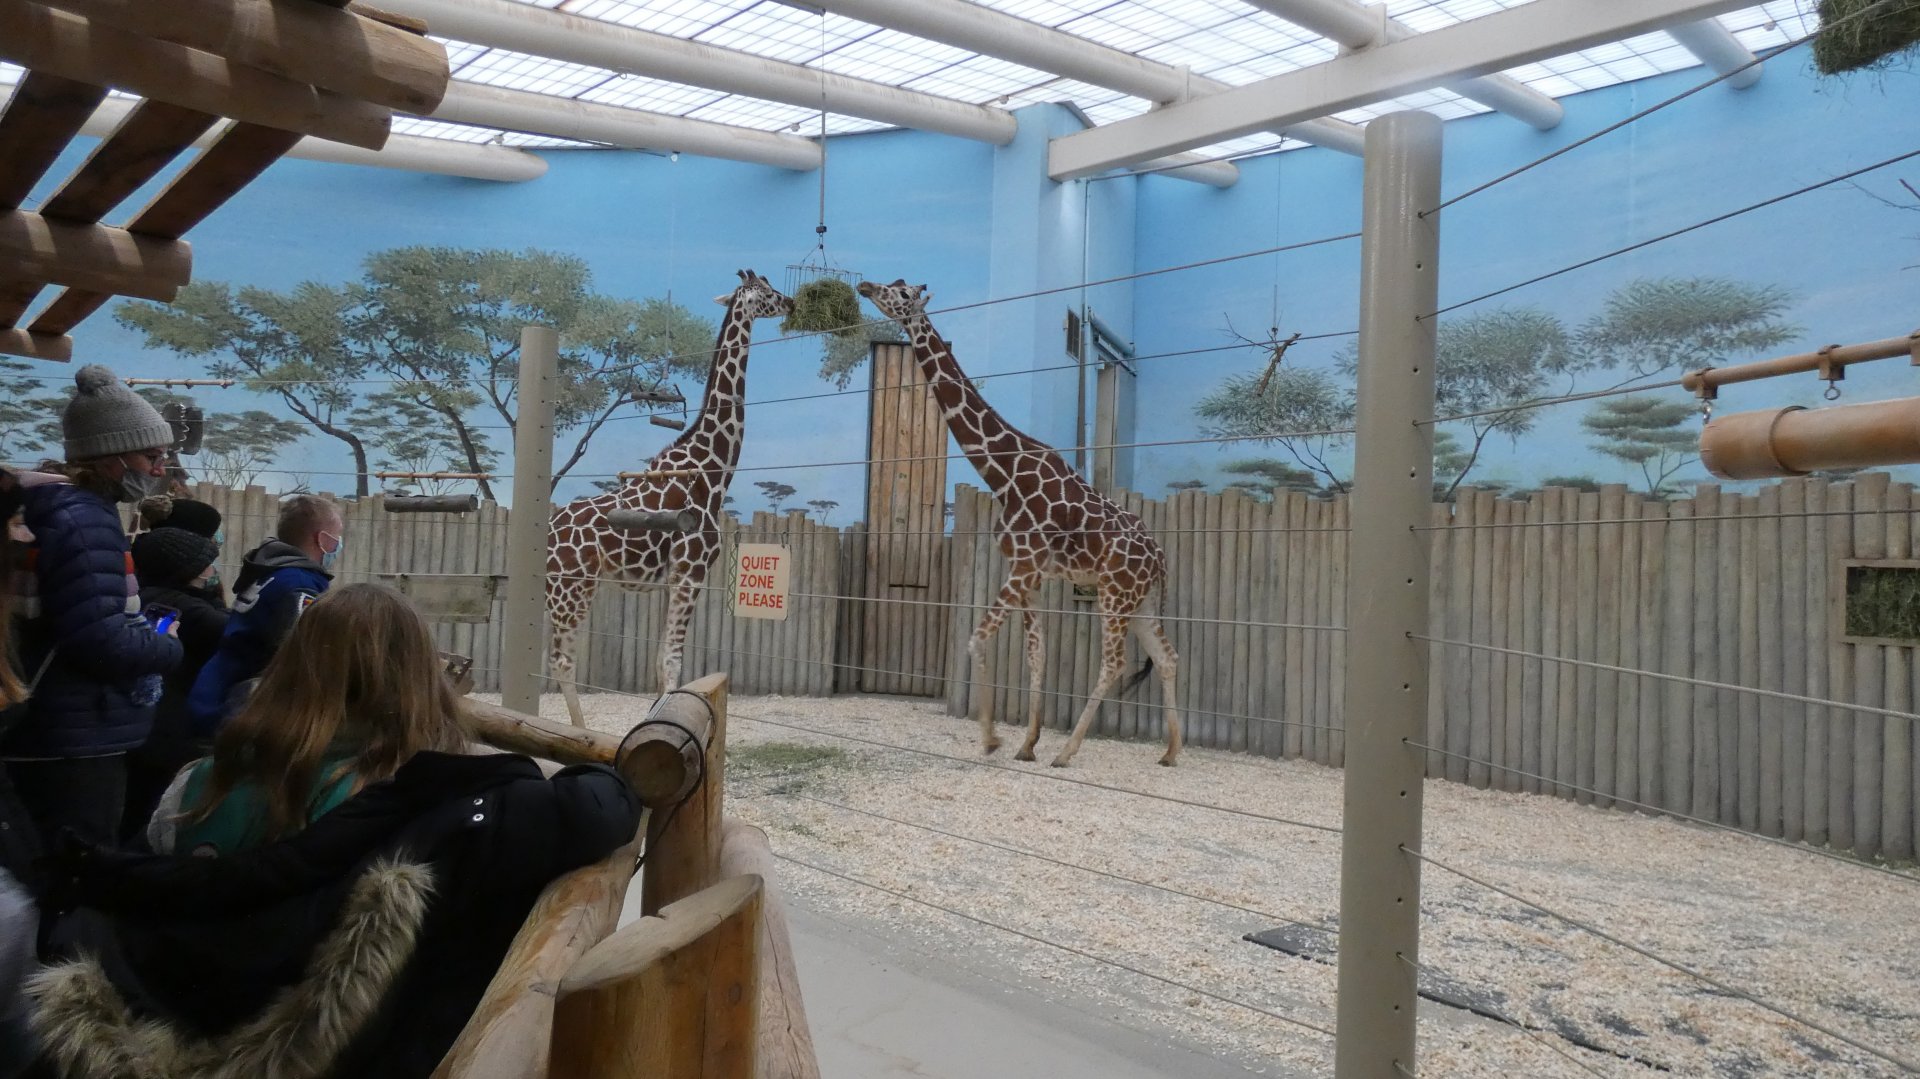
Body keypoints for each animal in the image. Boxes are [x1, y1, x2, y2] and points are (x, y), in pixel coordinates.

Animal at [544, 270, 793, 726]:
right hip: (573, 587)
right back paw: (578, 730)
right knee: (562, 661)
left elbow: (661, 662)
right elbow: (673, 661)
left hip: (562, 589)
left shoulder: (671, 576)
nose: (793, 302)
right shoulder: (692, 569)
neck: (712, 469)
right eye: (767, 291)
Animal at [857, 279, 1181, 767]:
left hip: (1115, 594)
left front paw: (992, 739)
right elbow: (1036, 654)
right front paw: (1027, 743)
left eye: (902, 295)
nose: (865, 285)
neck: (1002, 472)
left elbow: (977, 639)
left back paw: (1067, 752)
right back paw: (1171, 751)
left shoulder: (1024, 564)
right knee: (1166, 656)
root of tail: (1160, 559)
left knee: (1115, 662)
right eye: (891, 286)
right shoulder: (1029, 572)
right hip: (1141, 601)